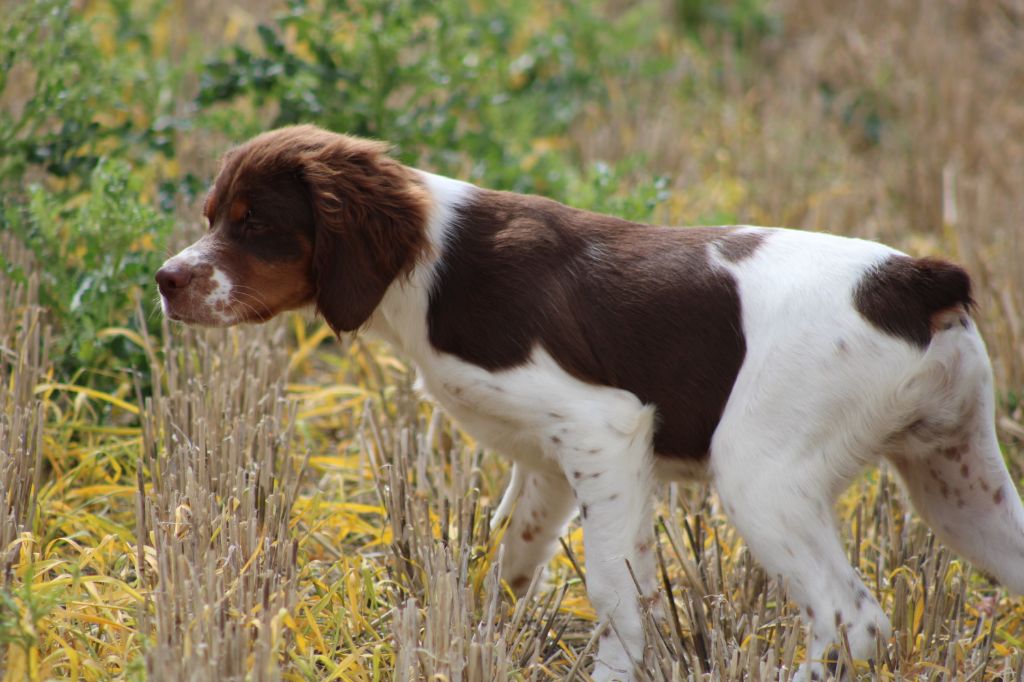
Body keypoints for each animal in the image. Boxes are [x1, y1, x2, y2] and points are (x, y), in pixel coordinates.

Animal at [153, 124, 1024, 675]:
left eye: (255, 223)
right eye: (212, 216)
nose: (165, 281)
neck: (430, 266)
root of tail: (914, 280)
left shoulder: (606, 427)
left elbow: (615, 590)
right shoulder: (548, 466)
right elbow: (509, 561)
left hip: (762, 474)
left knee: (851, 619)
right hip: (960, 482)